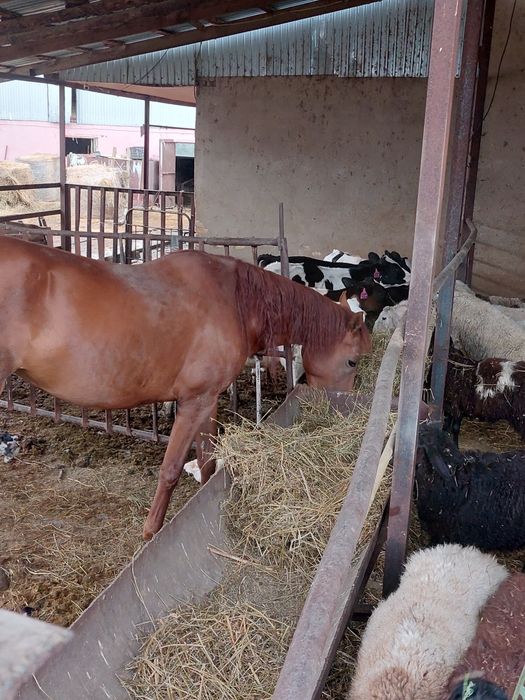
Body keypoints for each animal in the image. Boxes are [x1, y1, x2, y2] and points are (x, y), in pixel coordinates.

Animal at [0, 236, 371, 539]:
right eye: (352, 362)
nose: (339, 405)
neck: (235, 300)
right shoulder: (192, 401)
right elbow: (171, 469)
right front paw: (151, 533)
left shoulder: (208, 400)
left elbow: (207, 462)